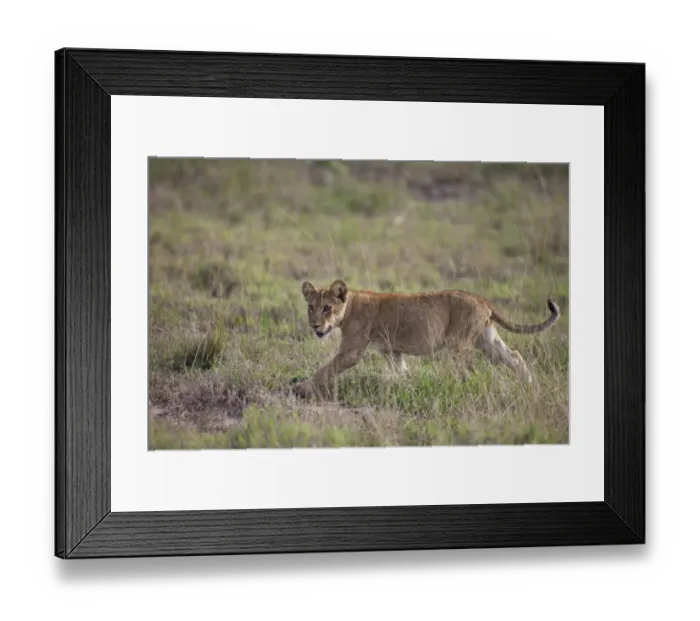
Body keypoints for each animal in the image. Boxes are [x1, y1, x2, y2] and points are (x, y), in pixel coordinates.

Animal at [292, 279, 561, 400]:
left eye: (327, 308)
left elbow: (325, 369)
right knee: (515, 356)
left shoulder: (352, 352)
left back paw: (461, 393)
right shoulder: (391, 351)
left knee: (468, 373)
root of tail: (482, 300)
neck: (348, 308)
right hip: (487, 340)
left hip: (459, 344)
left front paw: (302, 388)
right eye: (311, 307)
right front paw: (410, 388)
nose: (314, 325)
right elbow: (402, 372)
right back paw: (530, 386)